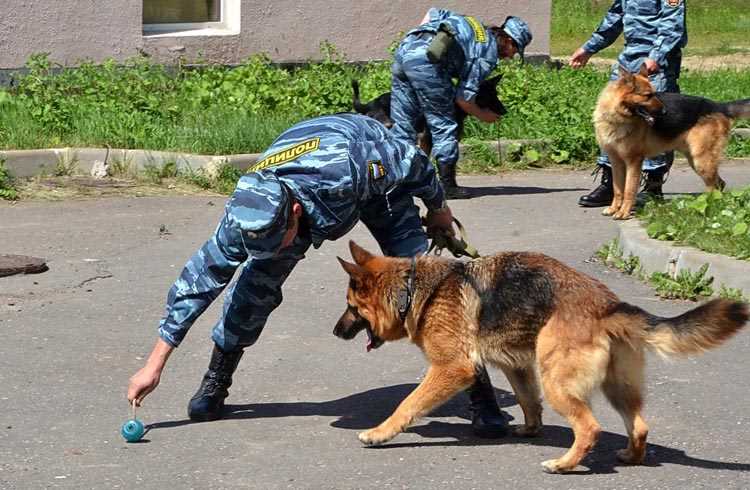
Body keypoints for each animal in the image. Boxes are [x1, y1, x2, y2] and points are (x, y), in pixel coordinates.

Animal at [336, 243, 750, 472]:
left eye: (351, 307)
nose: (337, 332)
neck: (411, 289)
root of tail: (607, 305)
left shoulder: (452, 368)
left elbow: (408, 404)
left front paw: (379, 433)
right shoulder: (516, 366)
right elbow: (527, 401)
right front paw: (530, 429)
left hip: (559, 383)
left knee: (589, 427)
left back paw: (565, 464)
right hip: (615, 388)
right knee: (640, 425)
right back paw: (631, 457)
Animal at [352, 75, 506, 155]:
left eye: (495, 94)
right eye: (489, 96)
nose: (505, 111)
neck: (455, 104)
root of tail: (370, 103)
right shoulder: (426, 139)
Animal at [592, 65, 750, 220]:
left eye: (655, 93)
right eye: (648, 95)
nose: (664, 112)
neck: (617, 117)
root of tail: (719, 106)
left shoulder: (633, 162)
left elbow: (629, 189)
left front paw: (624, 212)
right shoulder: (616, 162)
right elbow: (618, 189)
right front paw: (614, 208)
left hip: (701, 161)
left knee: (713, 186)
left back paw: (707, 206)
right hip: (694, 160)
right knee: (720, 184)